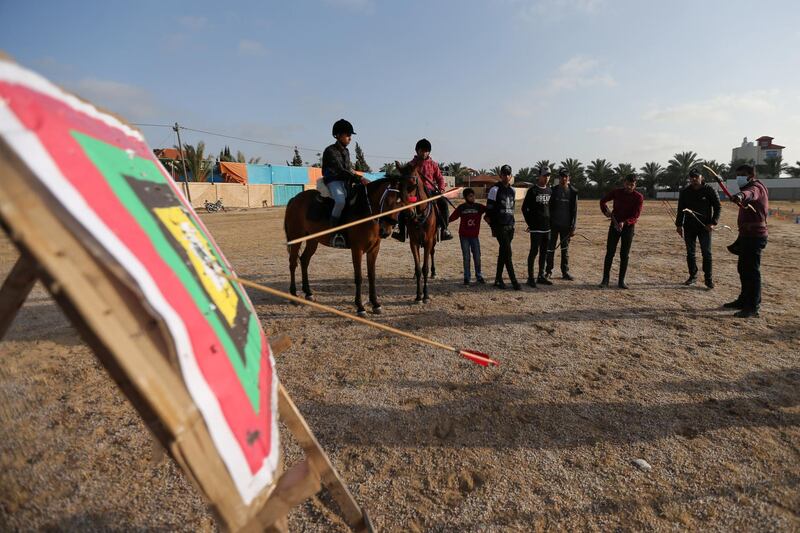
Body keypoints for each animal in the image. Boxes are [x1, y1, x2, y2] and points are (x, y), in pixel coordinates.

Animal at [282, 177, 406, 314]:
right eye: (387, 201)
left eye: (400, 203)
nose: (385, 231)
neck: (365, 210)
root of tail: (294, 199)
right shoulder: (357, 249)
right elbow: (358, 277)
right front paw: (360, 307)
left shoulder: (374, 249)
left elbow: (372, 276)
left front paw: (375, 304)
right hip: (296, 238)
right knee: (293, 263)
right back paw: (293, 295)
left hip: (312, 240)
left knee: (304, 260)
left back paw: (308, 293)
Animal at [396, 159, 440, 304]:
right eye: (399, 186)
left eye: (413, 185)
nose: (407, 213)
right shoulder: (414, 242)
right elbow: (418, 267)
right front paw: (418, 296)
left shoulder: (428, 241)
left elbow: (425, 268)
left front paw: (425, 296)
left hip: (433, 240)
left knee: (432, 253)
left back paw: (434, 272)